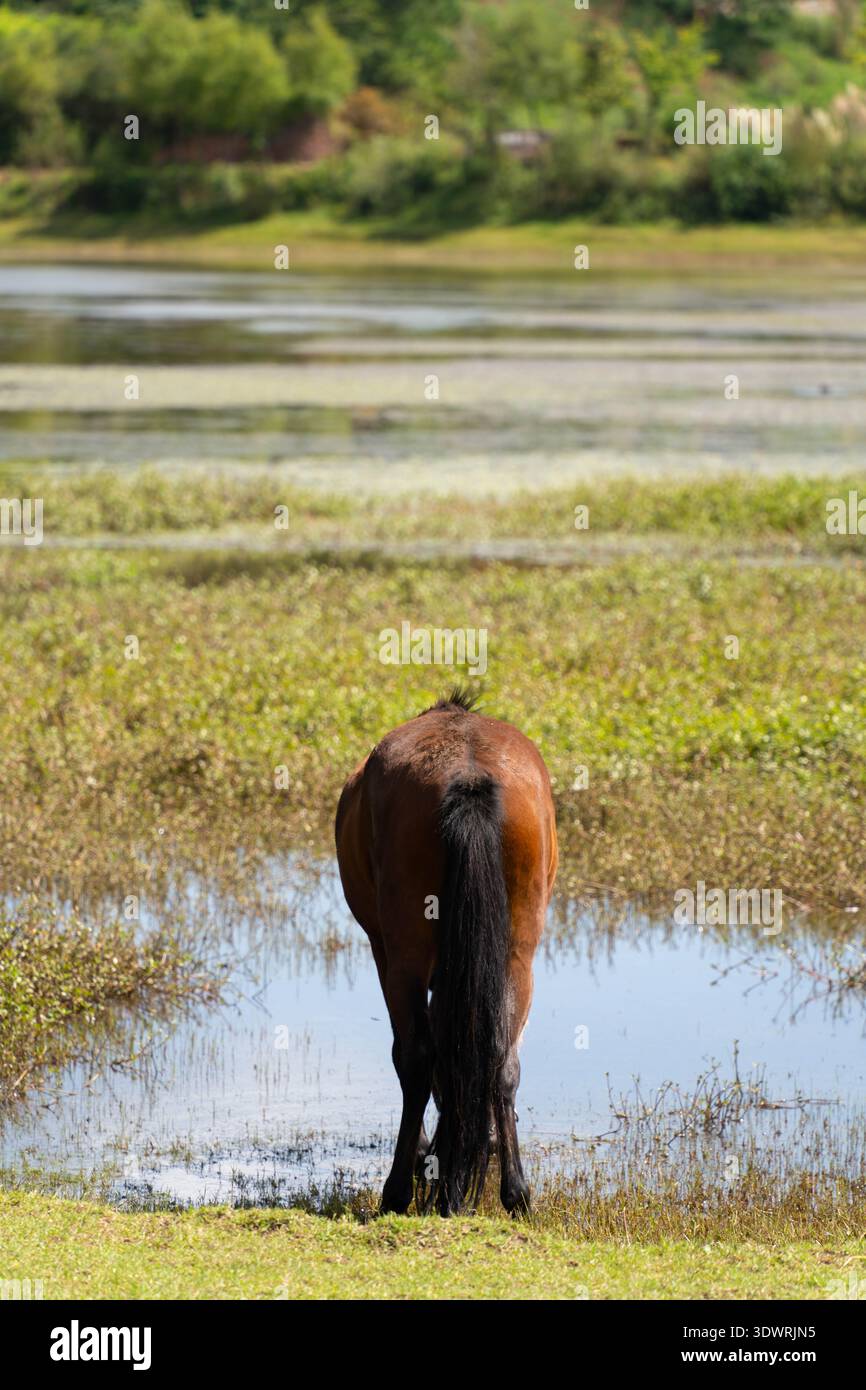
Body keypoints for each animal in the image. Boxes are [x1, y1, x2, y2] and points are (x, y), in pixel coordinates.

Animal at [335, 689, 558, 1216]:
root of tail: (469, 776)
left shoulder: (385, 952)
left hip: (405, 957)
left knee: (415, 1058)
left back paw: (397, 1190)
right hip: (517, 956)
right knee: (502, 1059)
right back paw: (515, 1192)